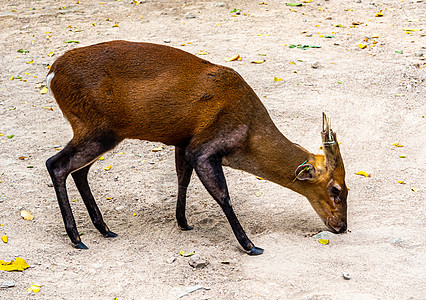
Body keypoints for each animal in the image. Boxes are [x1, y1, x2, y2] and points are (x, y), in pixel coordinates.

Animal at [45, 40, 348, 255]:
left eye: (347, 189)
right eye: (336, 189)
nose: (342, 226)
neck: (249, 134)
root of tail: (53, 72)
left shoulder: (183, 141)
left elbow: (183, 178)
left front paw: (182, 221)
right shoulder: (204, 147)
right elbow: (223, 194)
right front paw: (250, 245)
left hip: (97, 132)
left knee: (78, 171)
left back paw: (104, 228)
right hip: (97, 127)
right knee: (56, 164)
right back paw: (76, 237)